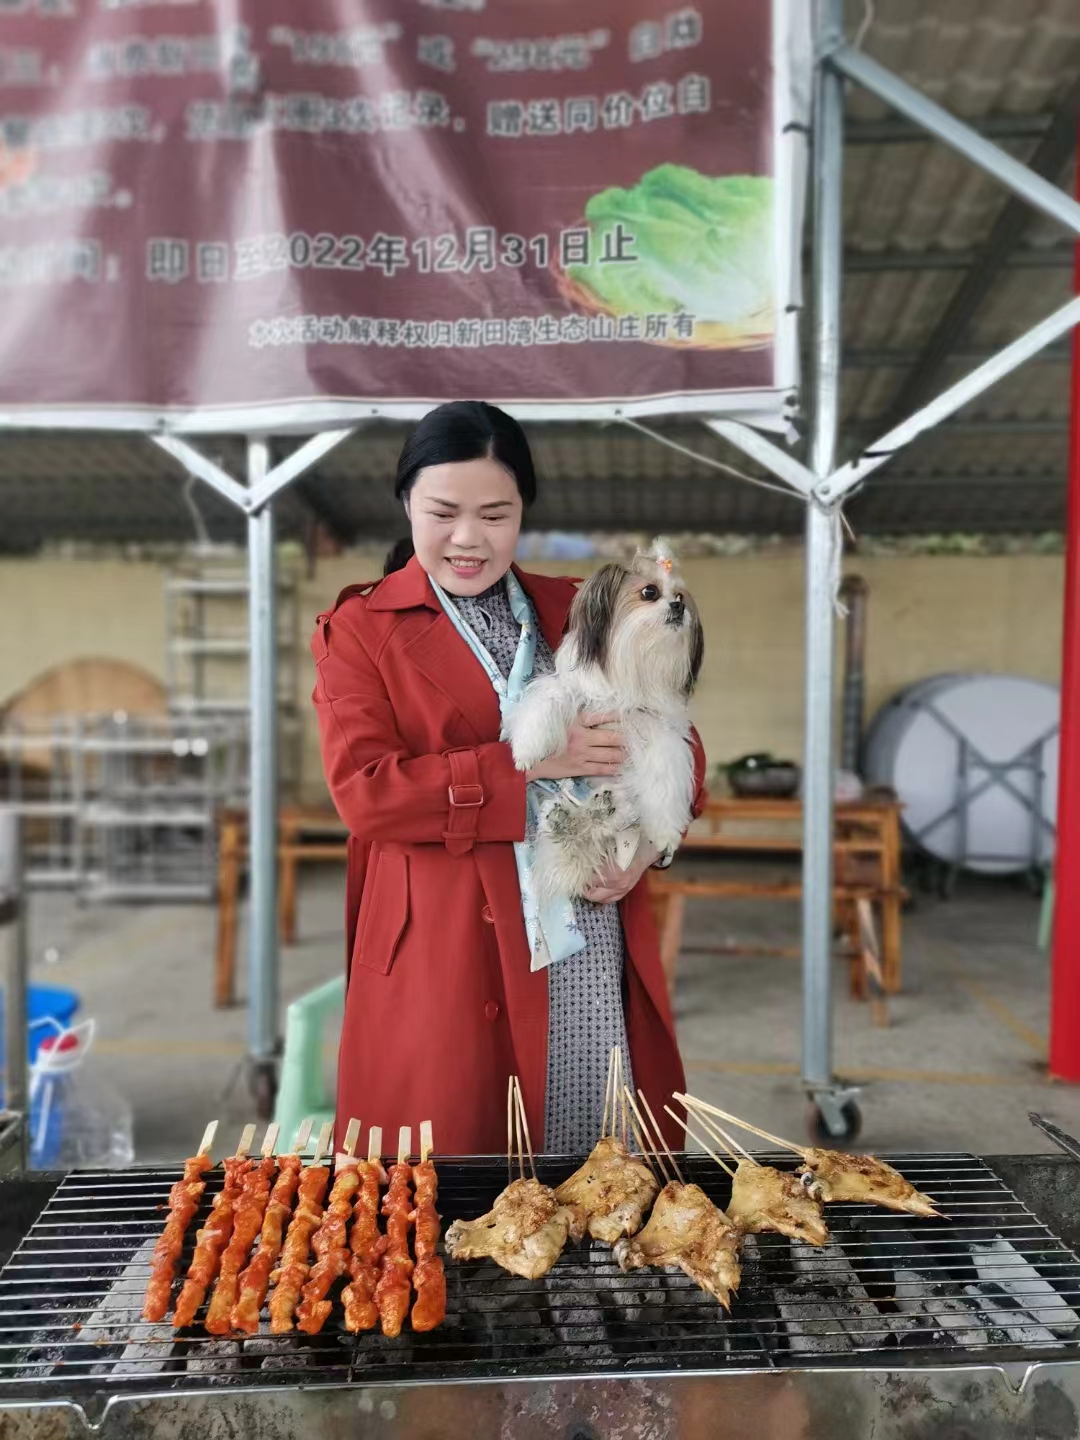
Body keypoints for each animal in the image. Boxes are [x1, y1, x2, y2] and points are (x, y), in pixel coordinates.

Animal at [506, 541, 705, 898]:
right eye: (650, 592)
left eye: (681, 596)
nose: (679, 607)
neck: (631, 666)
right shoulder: (574, 690)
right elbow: (548, 696)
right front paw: (527, 749)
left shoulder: (659, 731)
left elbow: (665, 776)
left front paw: (666, 831)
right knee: (575, 832)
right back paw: (566, 822)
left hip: (626, 812)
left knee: (611, 820)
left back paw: (601, 812)